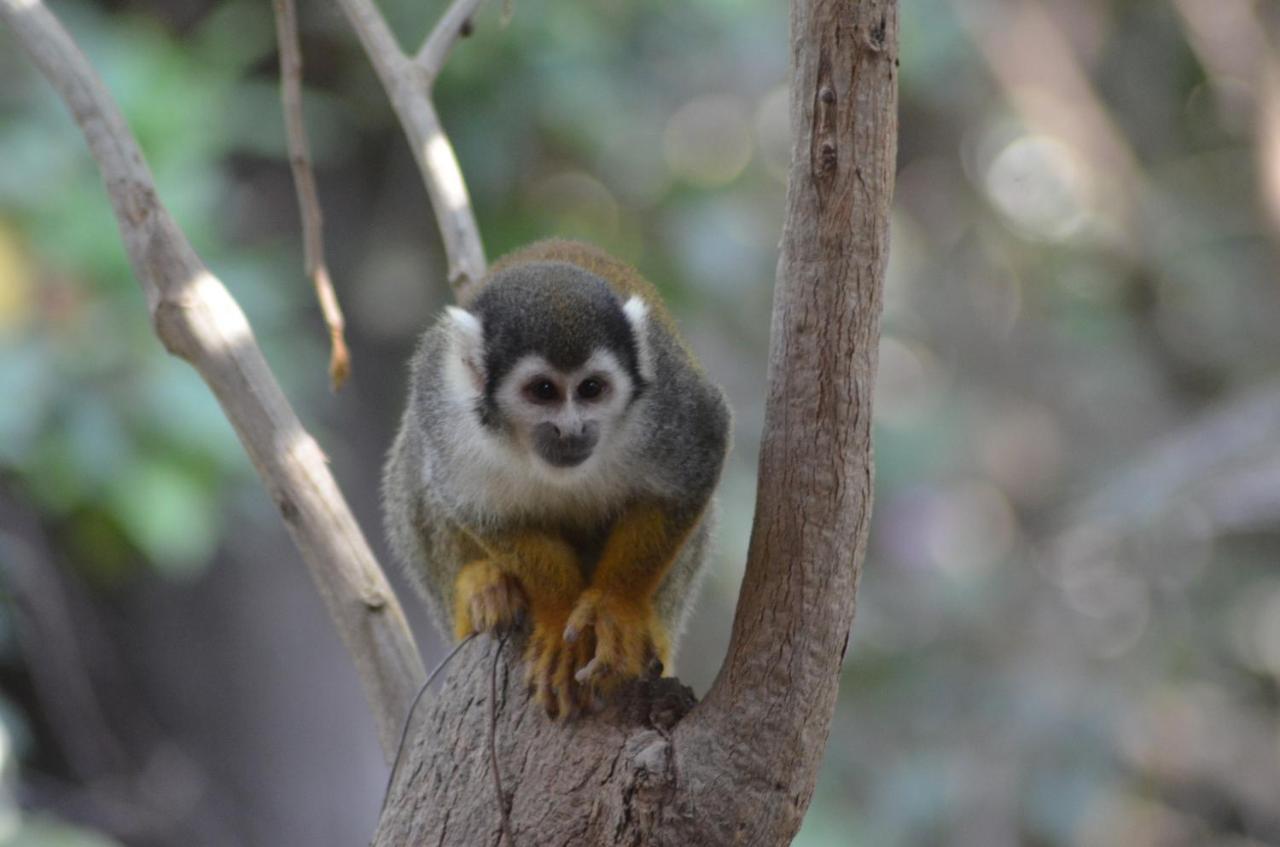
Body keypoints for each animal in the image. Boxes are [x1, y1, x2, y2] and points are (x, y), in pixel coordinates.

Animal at [378, 241, 732, 721]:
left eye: (591, 389)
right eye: (543, 390)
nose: (572, 430)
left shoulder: (669, 400)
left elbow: (698, 464)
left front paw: (615, 608)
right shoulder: (448, 414)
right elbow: (476, 508)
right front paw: (559, 609)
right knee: (415, 458)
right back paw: (479, 586)